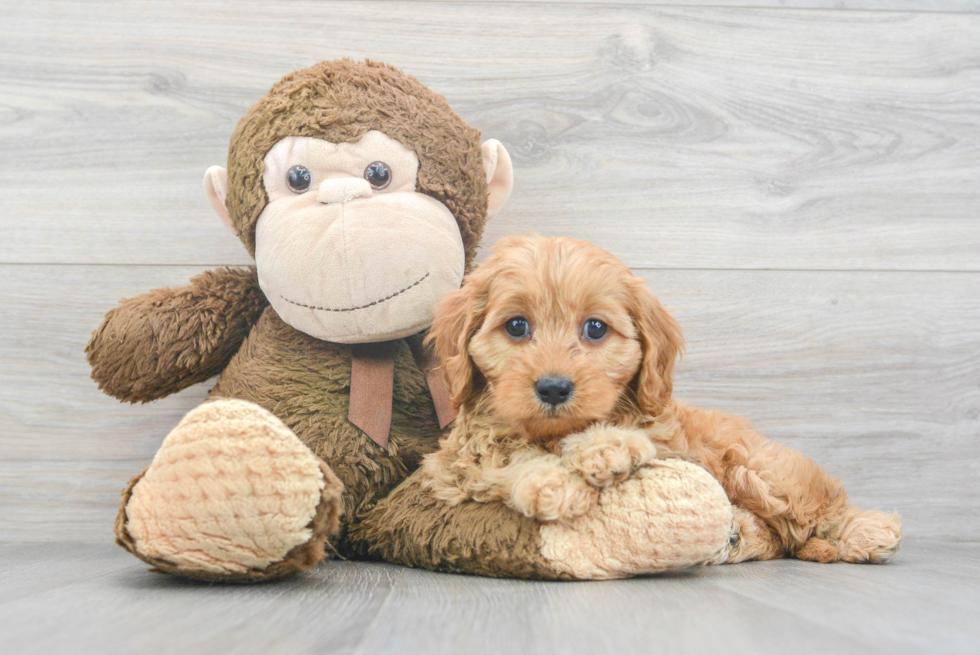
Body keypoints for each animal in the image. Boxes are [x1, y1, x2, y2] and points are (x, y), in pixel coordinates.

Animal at [422, 234, 904, 564]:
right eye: (516, 326)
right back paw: (739, 535)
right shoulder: (454, 463)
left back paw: (867, 532)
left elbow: (630, 439)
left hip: (758, 469)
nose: (554, 388)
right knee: (779, 536)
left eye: (595, 328)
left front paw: (605, 447)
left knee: (812, 510)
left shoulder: (673, 446)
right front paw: (551, 482)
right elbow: (499, 459)